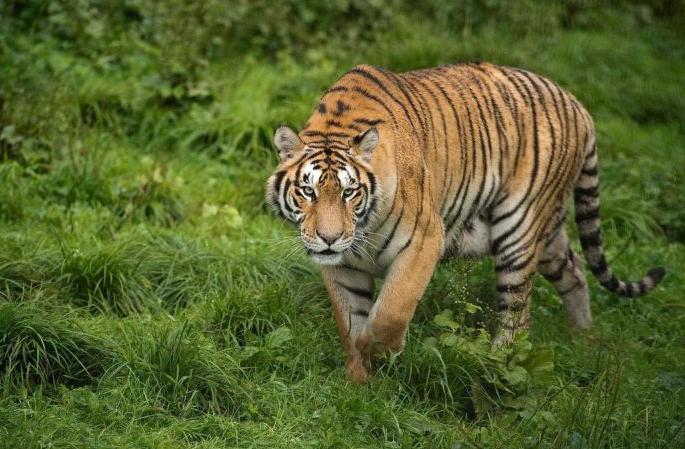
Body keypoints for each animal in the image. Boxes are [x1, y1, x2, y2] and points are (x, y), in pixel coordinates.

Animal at [265, 62, 666, 383]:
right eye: (308, 191)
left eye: (350, 193)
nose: (329, 239)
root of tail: (578, 104)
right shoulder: (342, 266)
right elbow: (349, 320)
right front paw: (359, 382)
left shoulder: (424, 240)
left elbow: (391, 311)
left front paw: (378, 350)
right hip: (549, 233)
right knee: (576, 269)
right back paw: (582, 336)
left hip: (518, 228)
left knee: (517, 315)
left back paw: (494, 363)